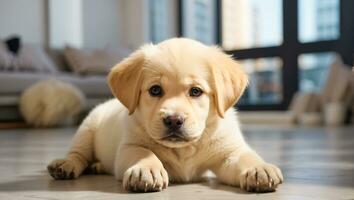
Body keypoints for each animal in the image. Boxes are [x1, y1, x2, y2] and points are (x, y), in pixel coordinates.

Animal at [47, 37, 284, 192]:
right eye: (155, 90)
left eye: (196, 91)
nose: (173, 120)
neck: (184, 149)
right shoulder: (129, 146)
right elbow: (143, 152)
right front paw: (146, 169)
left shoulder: (228, 150)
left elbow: (245, 156)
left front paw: (259, 168)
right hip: (87, 128)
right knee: (78, 153)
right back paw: (65, 165)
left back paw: (95, 166)